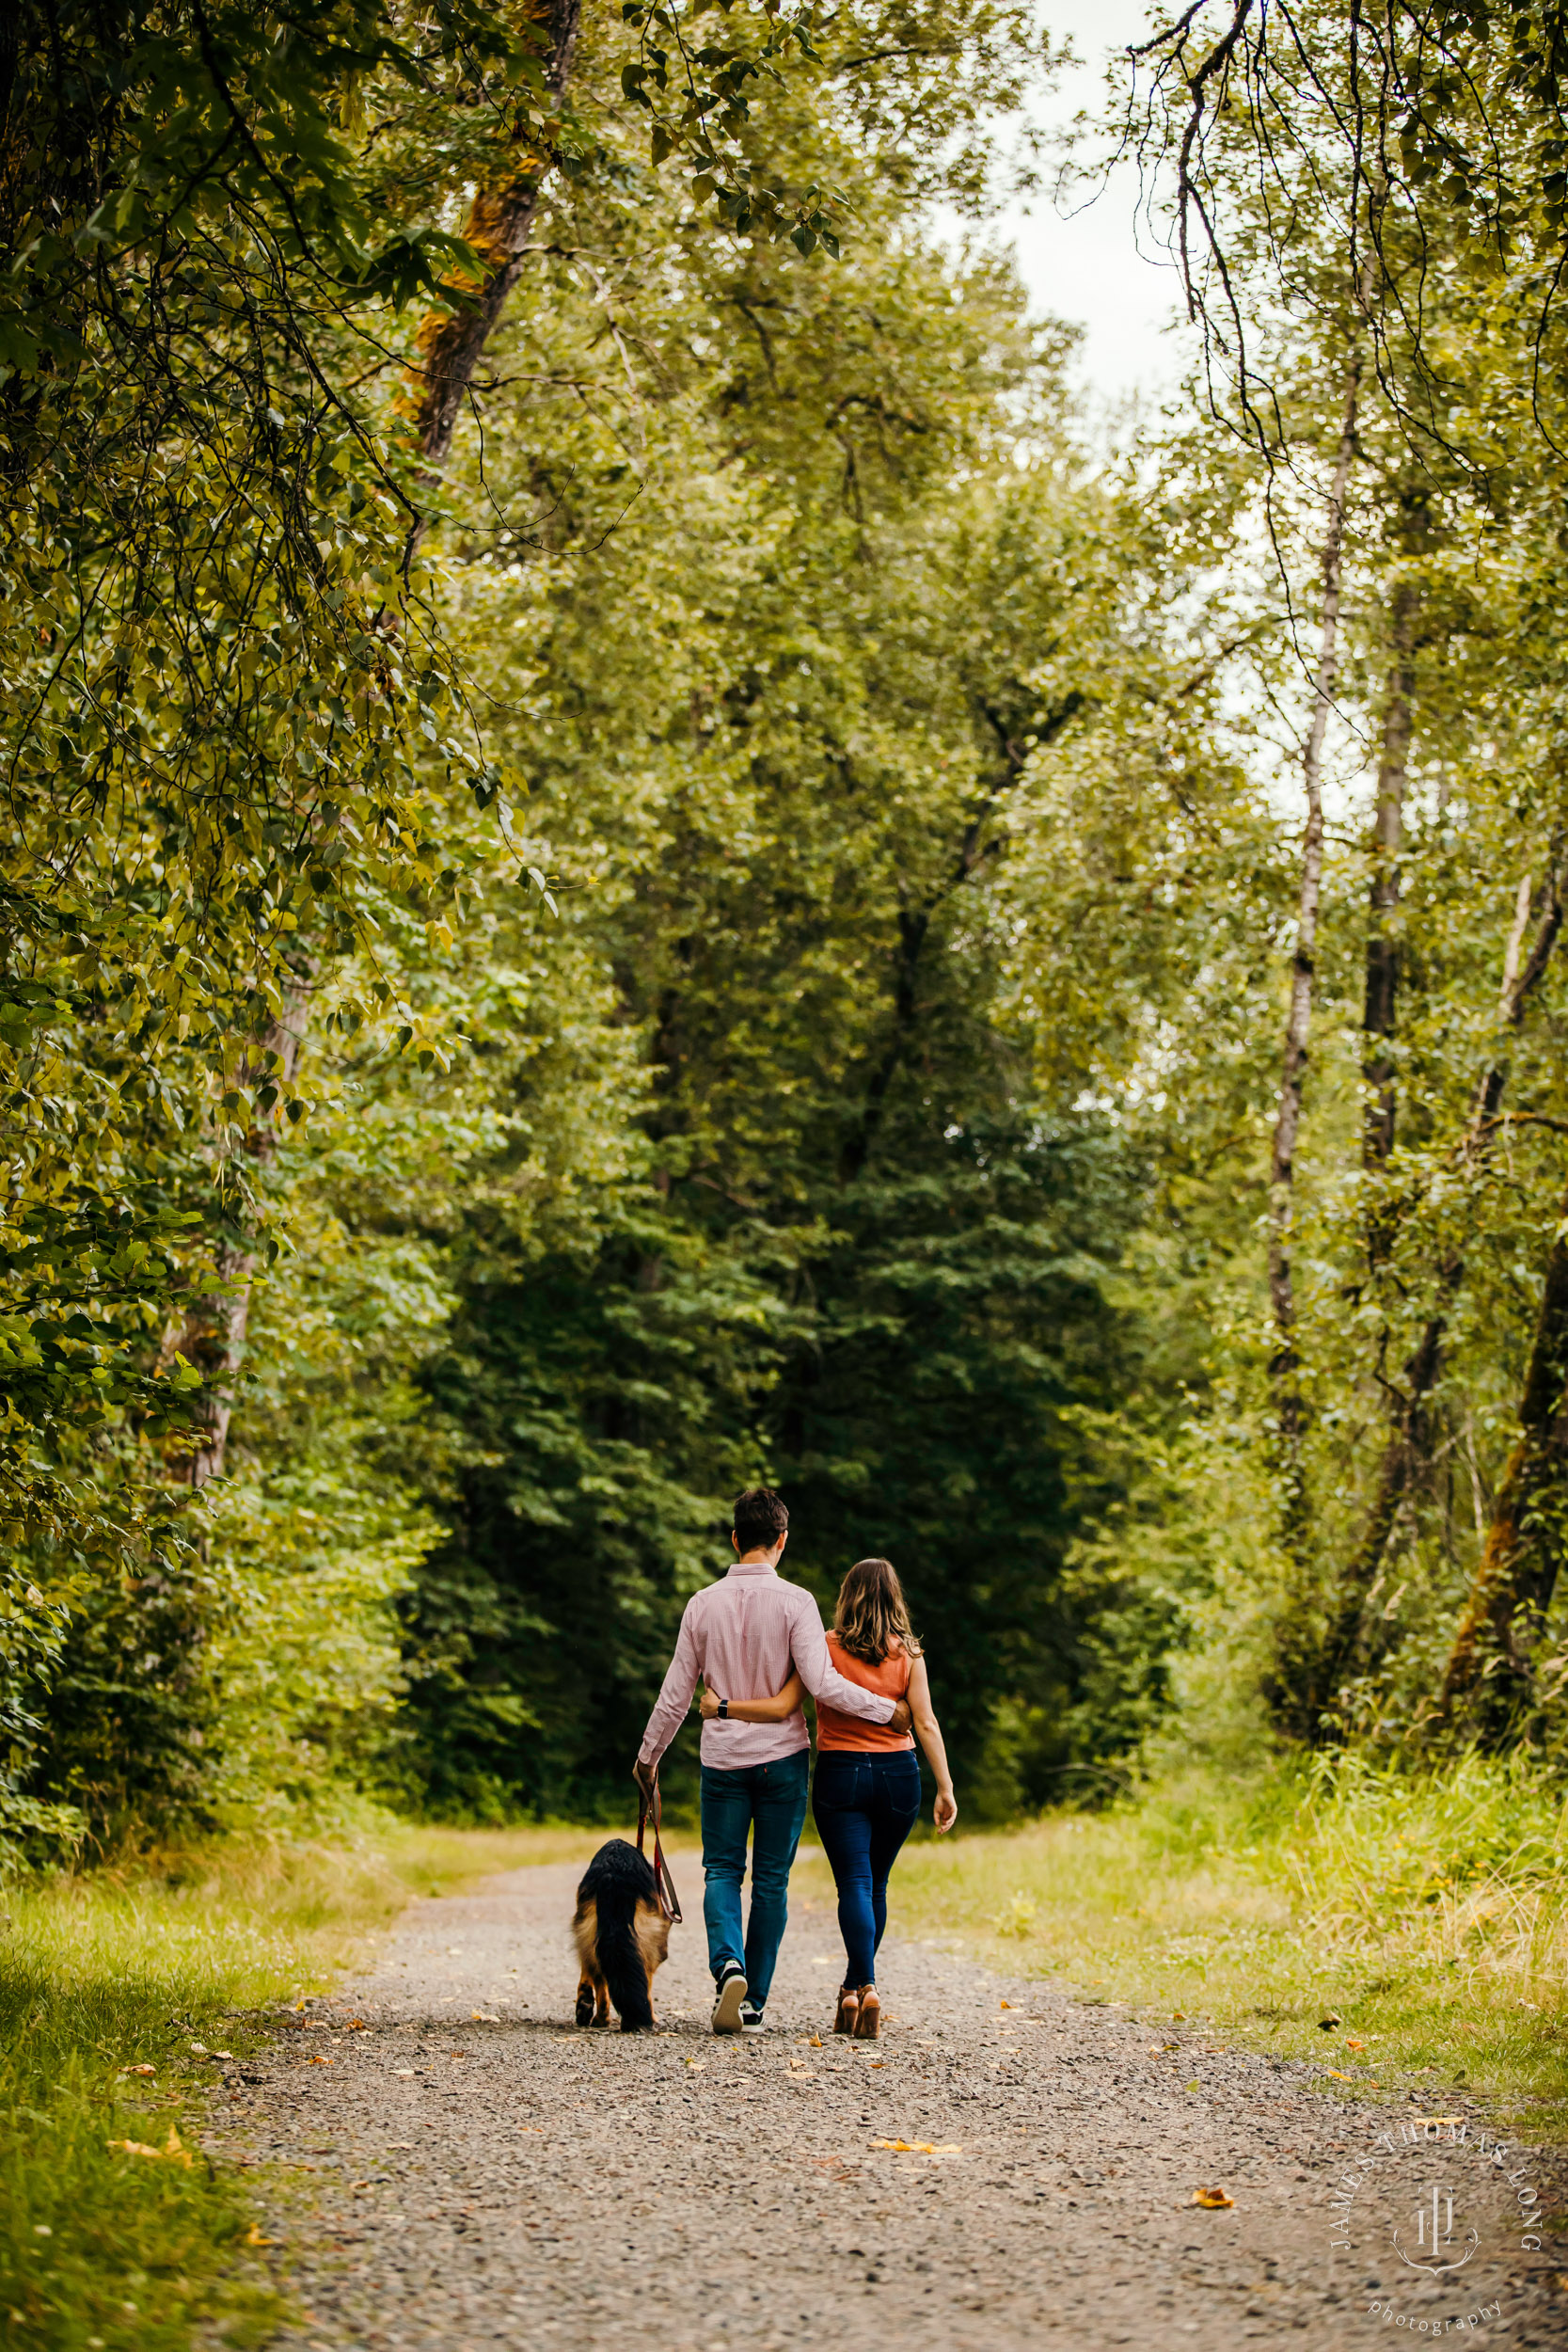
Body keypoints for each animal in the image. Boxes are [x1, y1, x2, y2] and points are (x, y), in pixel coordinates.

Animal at [576, 1835, 676, 2023]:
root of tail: (615, 1873)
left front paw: (584, 2003)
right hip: (652, 1946)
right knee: (644, 1980)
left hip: (589, 1932)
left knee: (597, 1971)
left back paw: (599, 2018)